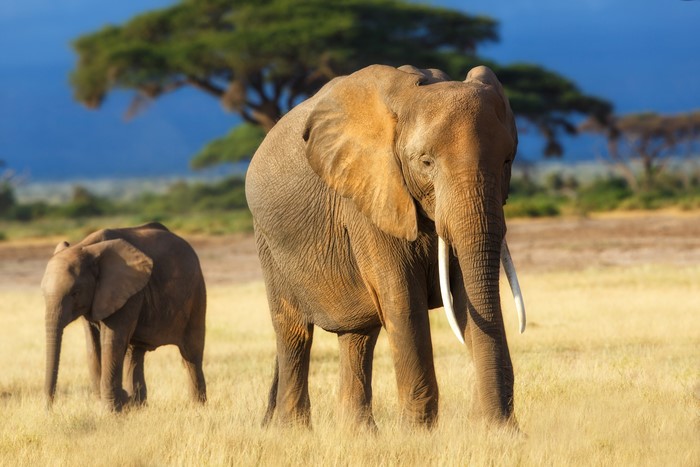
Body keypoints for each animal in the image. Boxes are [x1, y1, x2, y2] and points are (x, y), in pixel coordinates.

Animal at [41, 222, 207, 412]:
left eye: (75, 292)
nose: (48, 409)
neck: (86, 247)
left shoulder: (128, 293)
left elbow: (112, 342)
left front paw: (111, 412)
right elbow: (92, 345)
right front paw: (112, 406)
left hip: (196, 293)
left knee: (191, 354)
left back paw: (197, 407)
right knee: (134, 353)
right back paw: (138, 406)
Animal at [245, 64, 526, 430]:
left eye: (507, 161)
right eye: (426, 162)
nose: (497, 420)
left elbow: (466, 294)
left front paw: (496, 431)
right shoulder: (369, 193)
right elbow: (402, 297)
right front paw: (417, 434)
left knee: (358, 336)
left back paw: (358, 433)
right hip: (268, 241)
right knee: (293, 332)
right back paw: (293, 430)